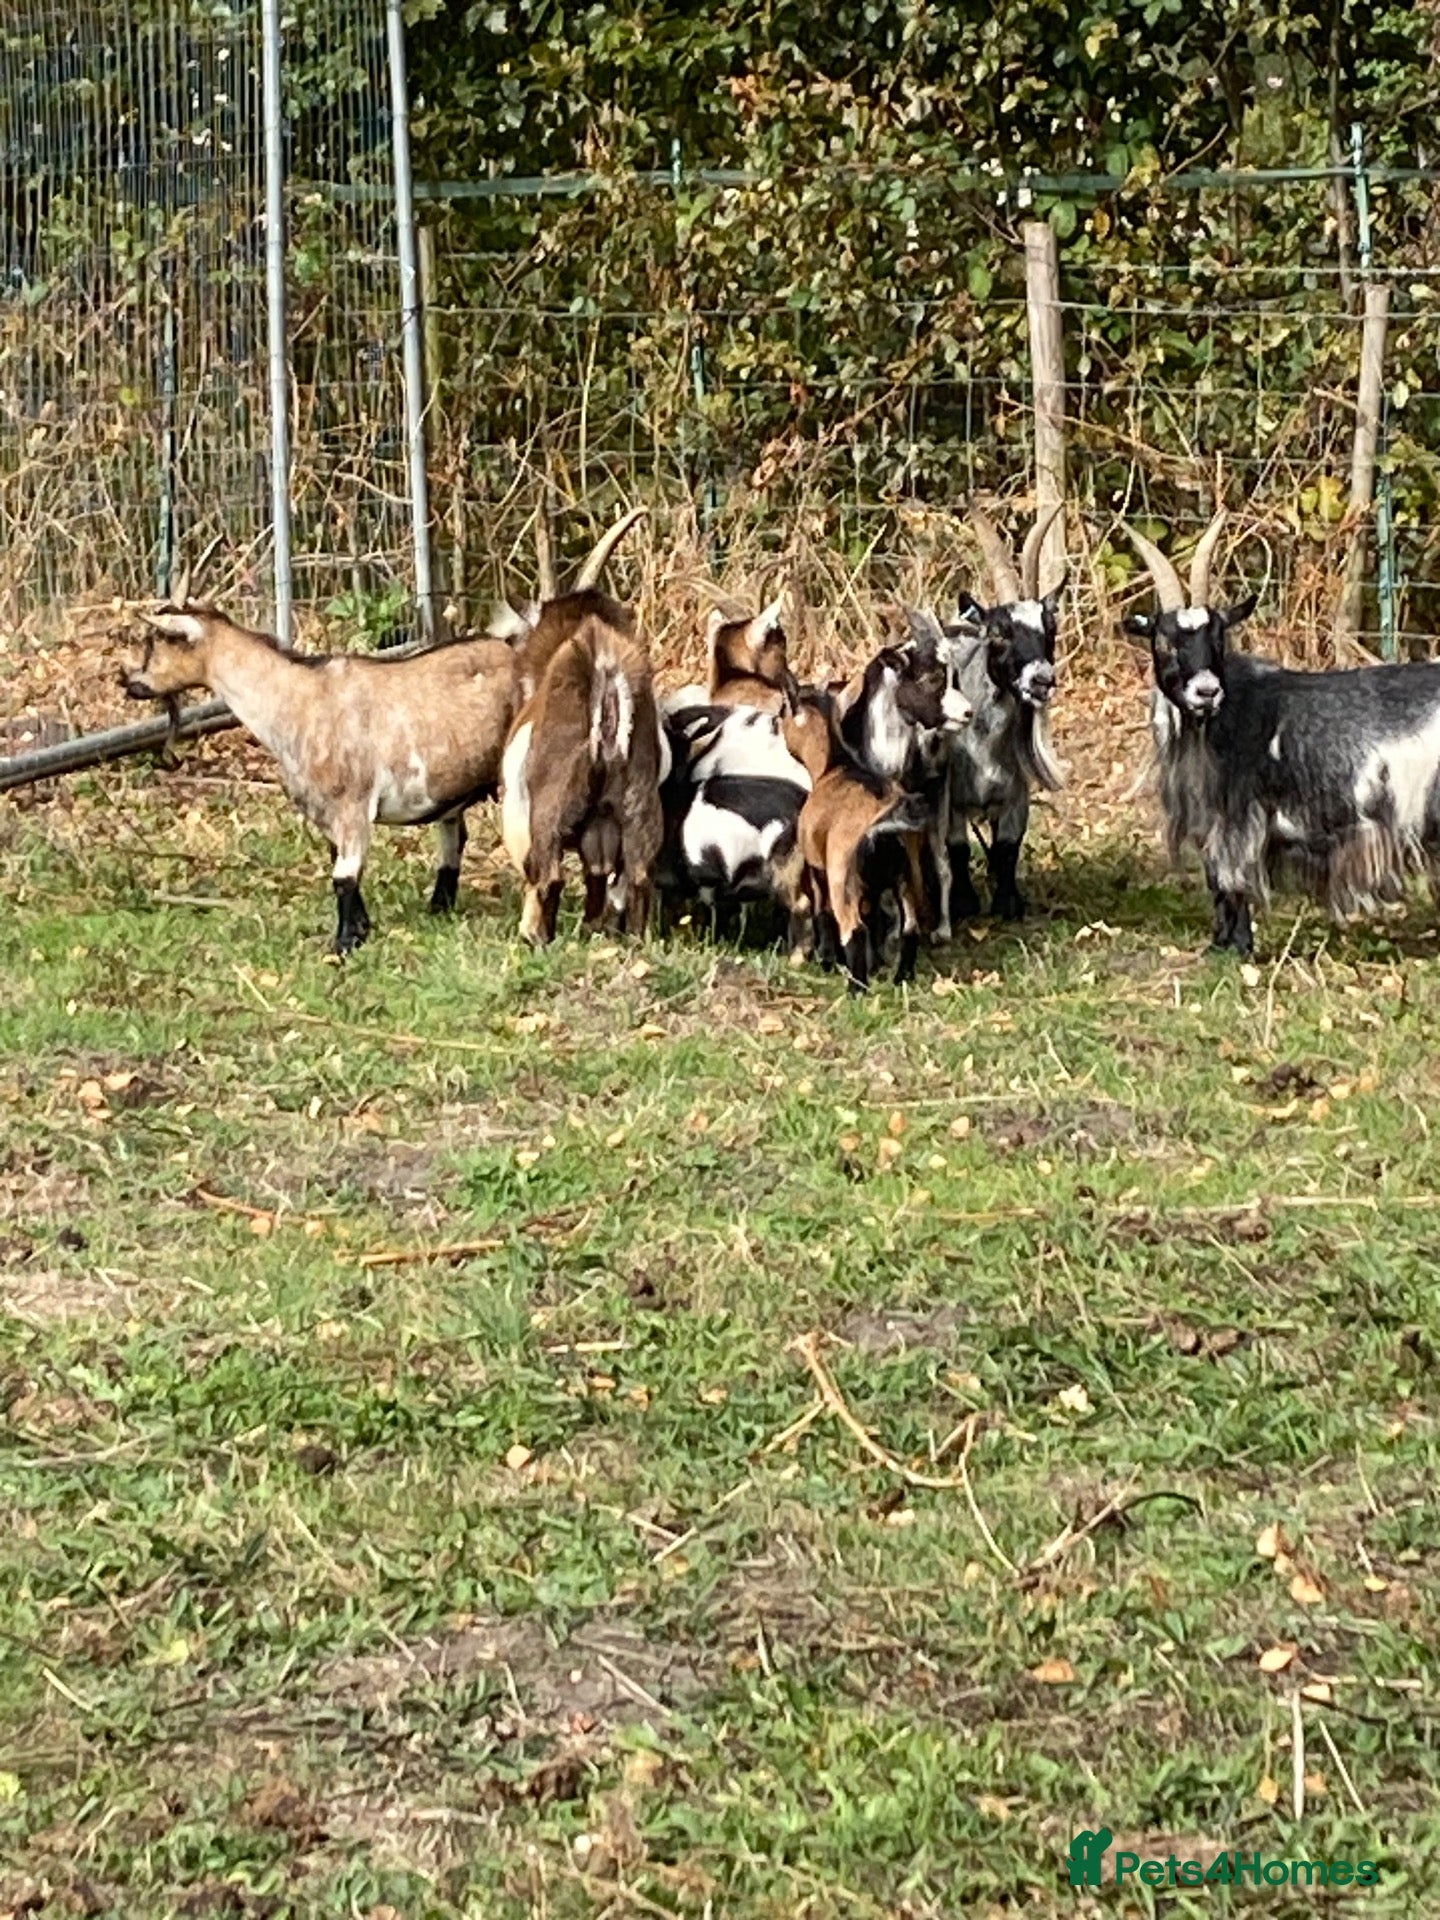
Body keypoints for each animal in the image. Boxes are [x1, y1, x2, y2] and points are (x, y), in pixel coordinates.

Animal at [122, 605, 520, 953]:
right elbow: (341, 865)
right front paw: (361, 929)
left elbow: (344, 875)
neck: (300, 700)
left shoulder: (353, 801)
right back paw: (439, 906)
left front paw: (343, 945)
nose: (131, 685)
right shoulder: (324, 808)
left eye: (160, 642)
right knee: (454, 833)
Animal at [501, 609, 664, 945]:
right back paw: (635, 941)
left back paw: (539, 938)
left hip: (551, 808)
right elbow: (597, 873)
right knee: (638, 875)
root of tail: (604, 667)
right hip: (639, 803)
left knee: (550, 876)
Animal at [783, 691, 929, 991]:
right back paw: (902, 978)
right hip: (909, 875)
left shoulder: (818, 867)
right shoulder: (870, 888)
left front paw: (826, 961)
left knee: (853, 928)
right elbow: (874, 919)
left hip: (842, 878)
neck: (835, 765)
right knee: (909, 928)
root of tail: (884, 823)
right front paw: (876, 965)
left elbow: (822, 913)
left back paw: (855, 988)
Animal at [910, 502, 1066, 932]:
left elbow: (1008, 846)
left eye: (1050, 627)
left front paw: (1008, 901)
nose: (1042, 679)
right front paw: (964, 903)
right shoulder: (951, 801)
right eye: (998, 632)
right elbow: (958, 849)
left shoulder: (1016, 794)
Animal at [1123, 512, 1440, 955]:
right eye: (1164, 640)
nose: (1206, 691)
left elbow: (1230, 880)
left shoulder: (1240, 817)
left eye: (1218, 636)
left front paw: (1233, 948)